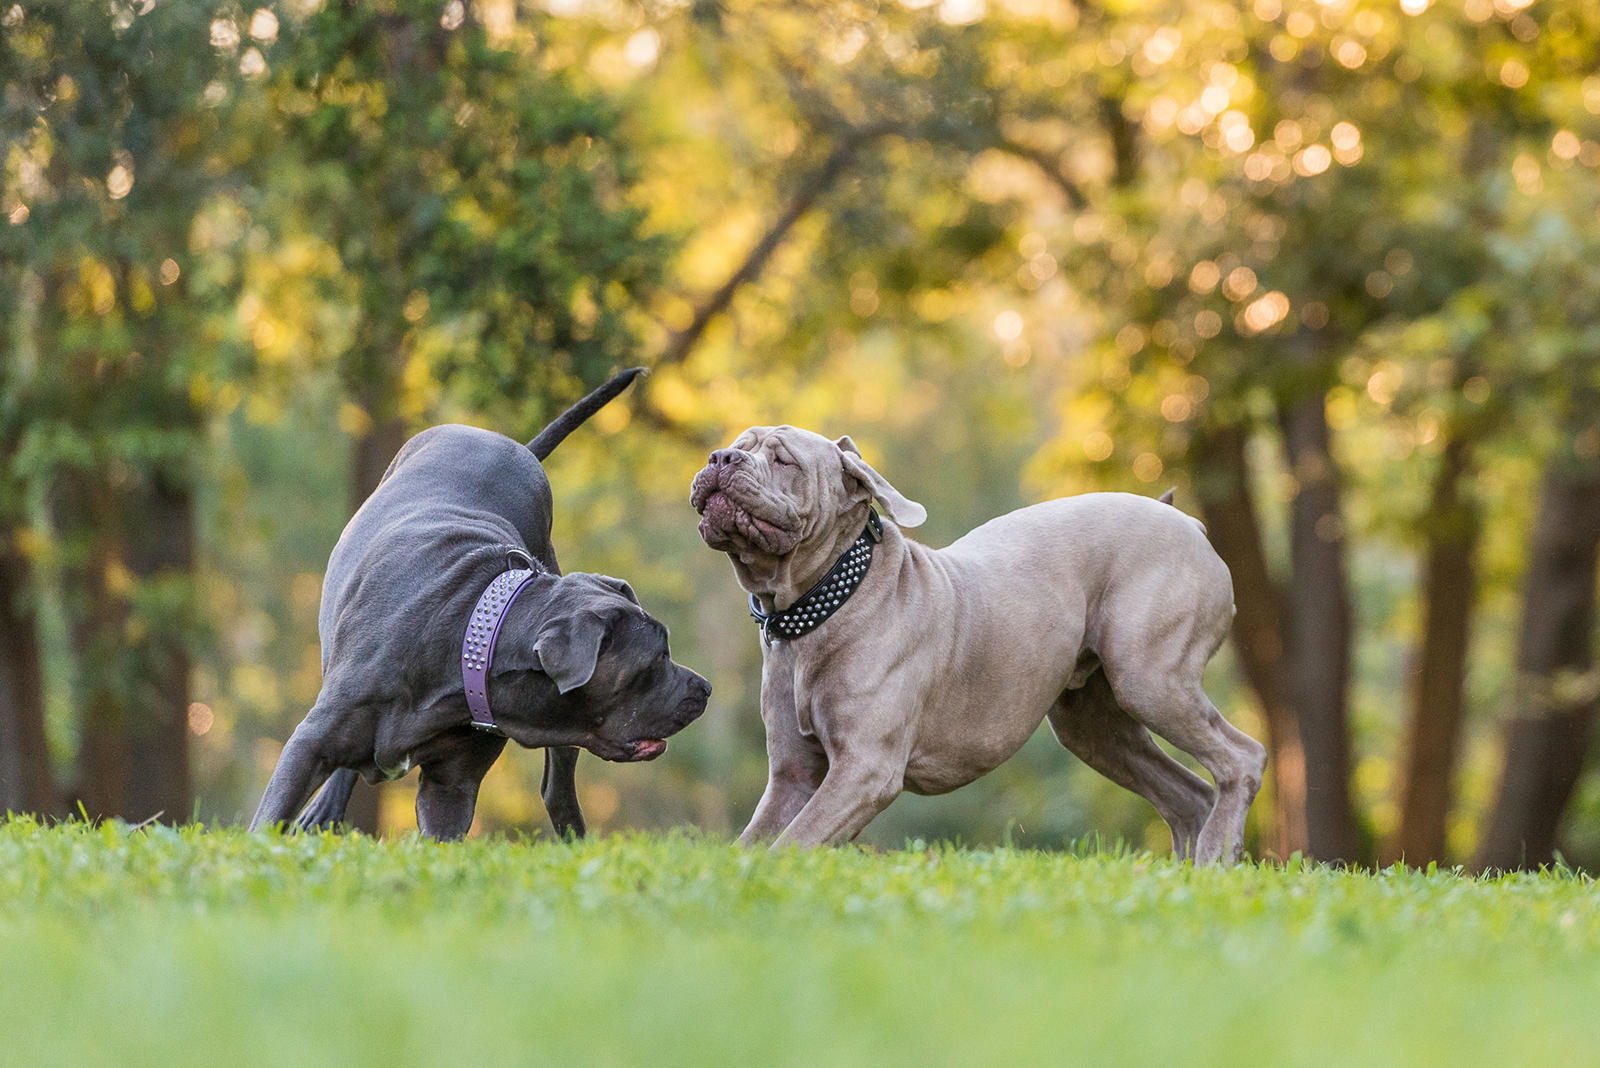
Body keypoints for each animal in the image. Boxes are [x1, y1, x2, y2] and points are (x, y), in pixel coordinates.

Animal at [252, 370, 710, 837]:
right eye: (656, 659)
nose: (705, 688)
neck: (468, 637)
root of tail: (512, 444)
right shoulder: (308, 745)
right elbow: (269, 818)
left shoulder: (452, 785)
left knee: (559, 789)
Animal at [694, 422, 1267, 863]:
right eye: (737, 442)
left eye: (783, 459)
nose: (721, 457)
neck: (812, 610)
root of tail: (1184, 520)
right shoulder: (793, 776)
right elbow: (756, 843)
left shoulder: (866, 769)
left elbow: (792, 843)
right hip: (1092, 726)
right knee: (1189, 795)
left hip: (1149, 678)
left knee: (1243, 758)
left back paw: (1217, 858)